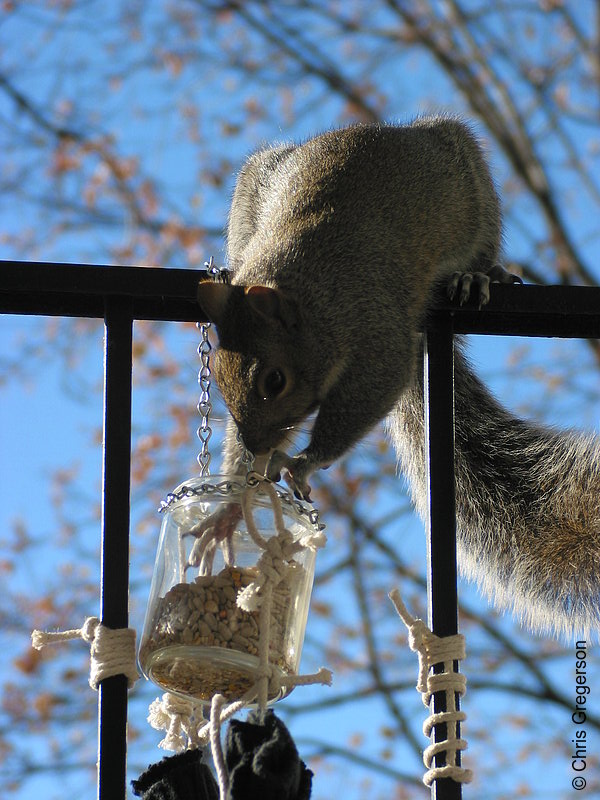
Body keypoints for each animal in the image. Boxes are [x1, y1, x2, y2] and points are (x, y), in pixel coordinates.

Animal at [197, 117, 600, 636]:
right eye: (219, 379)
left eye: (274, 381)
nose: (257, 445)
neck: (305, 289)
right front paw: (229, 508)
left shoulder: (376, 329)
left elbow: (373, 389)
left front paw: (304, 461)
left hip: (471, 185)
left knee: (483, 245)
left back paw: (479, 276)